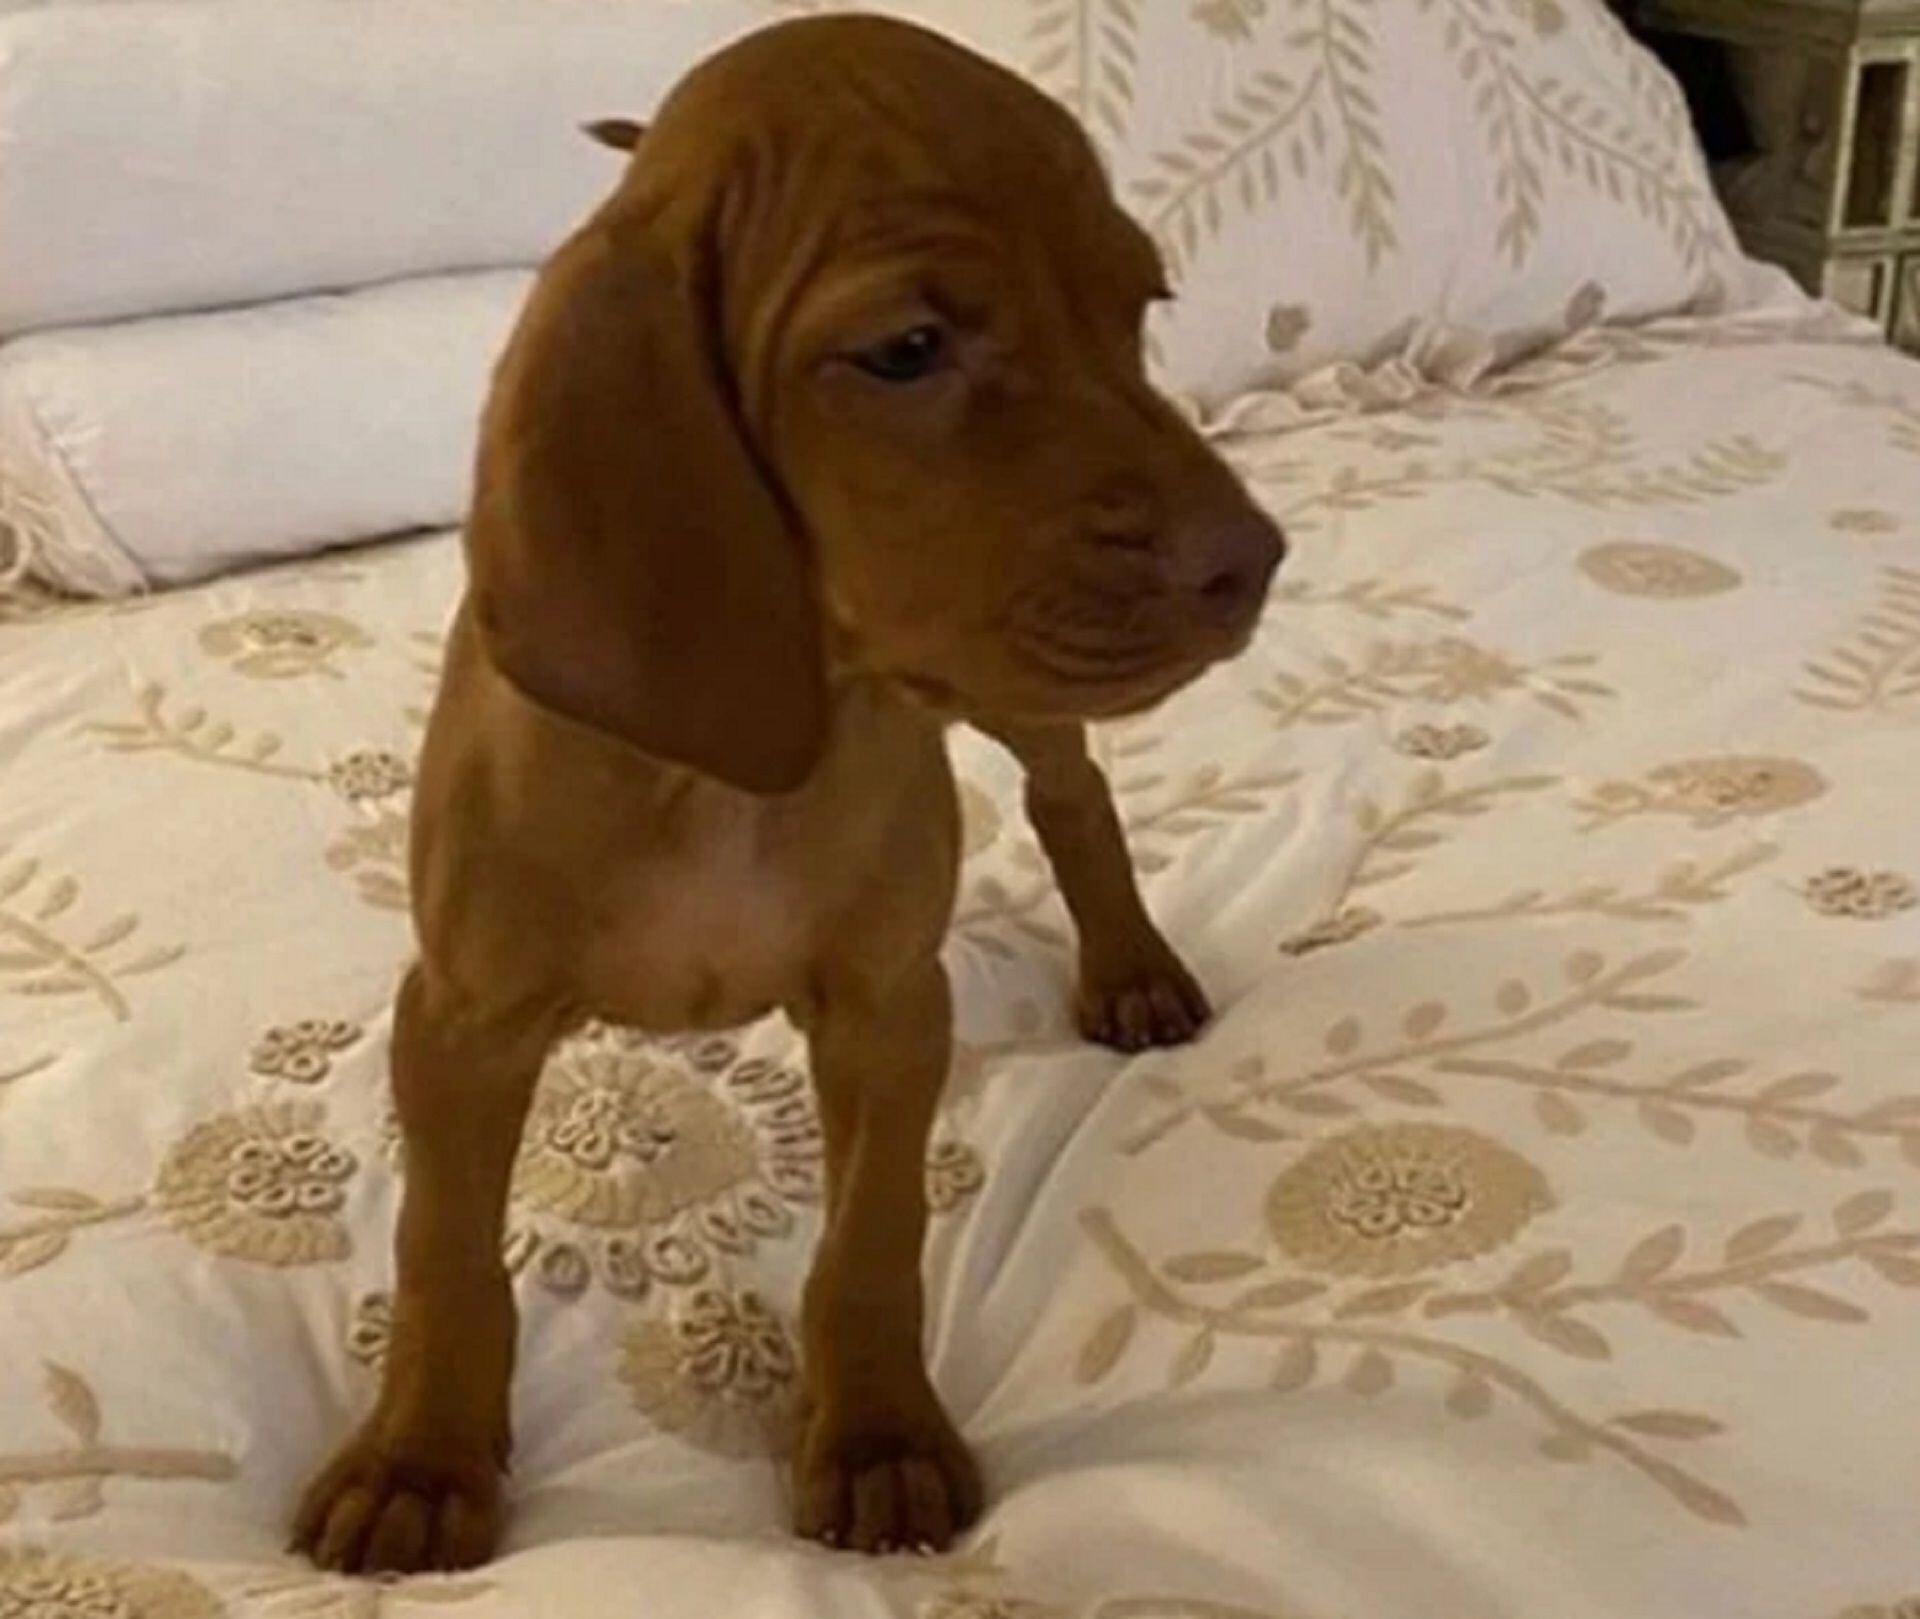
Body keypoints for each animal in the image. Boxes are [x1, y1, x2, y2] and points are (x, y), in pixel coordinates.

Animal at [292, 14, 1284, 1573]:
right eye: (907, 350)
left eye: (1141, 305)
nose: (1253, 560)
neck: (721, 772)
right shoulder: (459, 1019)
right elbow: (443, 1247)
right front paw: (419, 1456)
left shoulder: (889, 1004)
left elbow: (870, 1237)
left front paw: (876, 1432)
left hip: (1005, 687)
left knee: (1072, 793)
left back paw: (1128, 961)